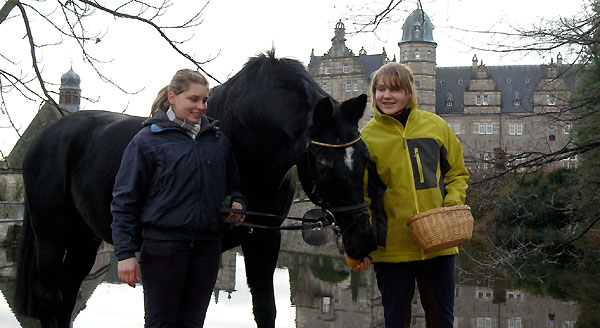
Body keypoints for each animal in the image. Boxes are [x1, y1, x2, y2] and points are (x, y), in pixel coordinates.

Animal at [14, 52, 376, 326]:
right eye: (324, 165)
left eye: (364, 158)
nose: (364, 239)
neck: (246, 141)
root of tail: (46, 135)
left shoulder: (265, 237)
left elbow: (265, 310)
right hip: (51, 233)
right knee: (50, 296)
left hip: (83, 236)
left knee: (68, 294)